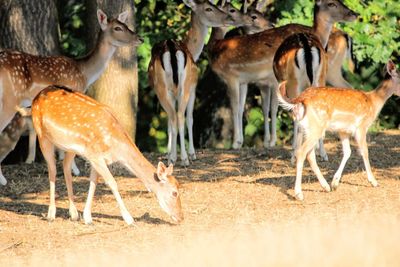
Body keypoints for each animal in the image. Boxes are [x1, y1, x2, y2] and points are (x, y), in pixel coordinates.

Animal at [0, 7, 143, 184]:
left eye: (125, 24)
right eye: (117, 28)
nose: (140, 38)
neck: (84, 74)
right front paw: (75, 169)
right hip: (10, 99)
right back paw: (3, 180)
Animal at [31, 87, 184, 225]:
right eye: (174, 193)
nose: (181, 217)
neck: (115, 146)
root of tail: (36, 96)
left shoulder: (96, 158)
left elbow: (93, 182)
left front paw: (88, 218)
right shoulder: (95, 155)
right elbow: (112, 182)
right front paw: (129, 219)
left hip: (70, 147)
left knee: (65, 166)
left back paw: (74, 214)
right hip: (42, 135)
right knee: (52, 169)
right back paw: (51, 214)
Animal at [148, 0, 238, 166]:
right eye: (208, 8)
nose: (229, 17)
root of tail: (172, 49)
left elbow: (169, 123)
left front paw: (169, 154)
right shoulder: (193, 88)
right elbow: (190, 118)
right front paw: (191, 153)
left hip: (164, 89)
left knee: (173, 116)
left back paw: (174, 158)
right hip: (182, 87)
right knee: (180, 116)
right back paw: (184, 158)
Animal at [211, 0, 358, 151]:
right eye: (332, 4)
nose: (354, 14)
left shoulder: (266, 81)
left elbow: (271, 107)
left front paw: (271, 142)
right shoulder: (257, 82)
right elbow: (260, 108)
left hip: (329, 72)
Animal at [278, 60, 400, 202]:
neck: (373, 102)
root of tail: (300, 99)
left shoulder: (343, 131)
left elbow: (347, 152)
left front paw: (335, 183)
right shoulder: (361, 127)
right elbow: (364, 151)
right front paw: (374, 181)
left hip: (306, 129)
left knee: (309, 154)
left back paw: (326, 186)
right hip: (316, 127)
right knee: (302, 152)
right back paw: (299, 194)